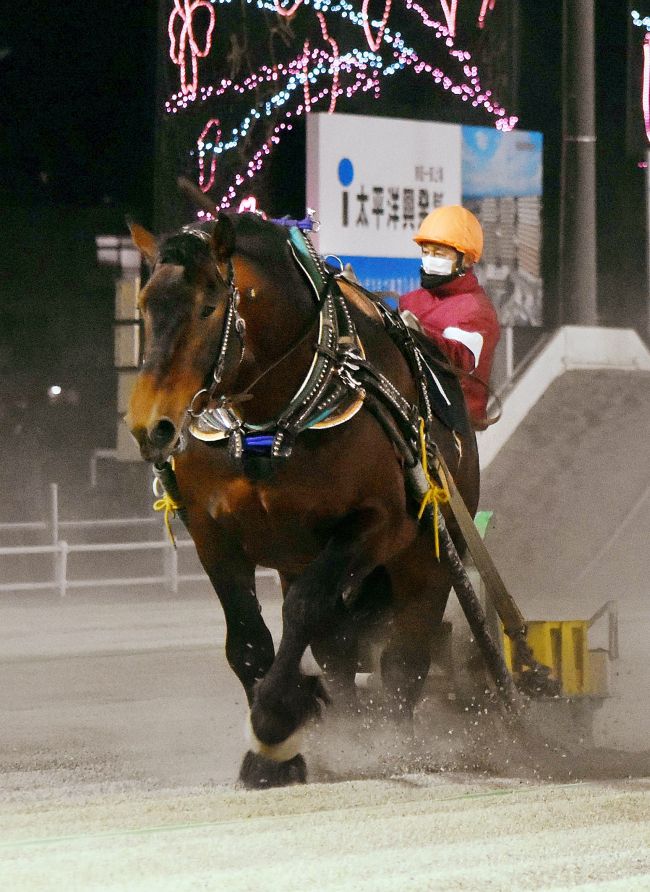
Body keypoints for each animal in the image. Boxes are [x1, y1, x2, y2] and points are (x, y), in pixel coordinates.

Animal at [129, 214, 478, 788]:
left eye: (208, 307)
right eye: (144, 306)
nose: (149, 426)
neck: (270, 427)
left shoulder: (376, 523)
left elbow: (305, 609)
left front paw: (274, 724)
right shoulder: (213, 534)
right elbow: (249, 642)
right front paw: (279, 752)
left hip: (426, 558)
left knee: (405, 658)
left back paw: (392, 742)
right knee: (338, 648)